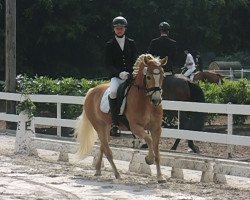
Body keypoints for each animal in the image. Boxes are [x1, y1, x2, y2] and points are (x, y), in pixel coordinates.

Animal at [74, 54, 168, 183]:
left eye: (163, 76)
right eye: (148, 77)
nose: (156, 100)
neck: (146, 102)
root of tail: (91, 91)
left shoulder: (156, 128)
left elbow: (157, 150)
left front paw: (160, 177)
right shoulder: (135, 127)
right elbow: (148, 140)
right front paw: (149, 159)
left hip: (107, 128)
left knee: (103, 146)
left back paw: (98, 170)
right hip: (99, 126)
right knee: (107, 151)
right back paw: (117, 174)